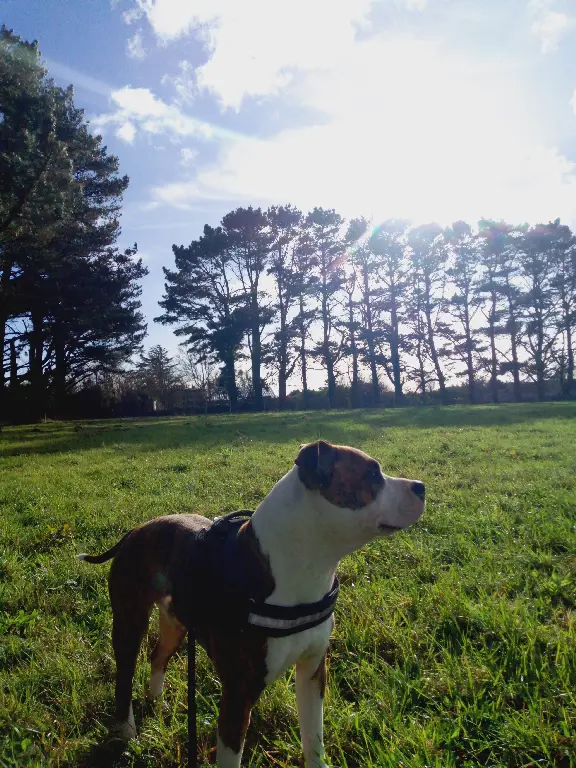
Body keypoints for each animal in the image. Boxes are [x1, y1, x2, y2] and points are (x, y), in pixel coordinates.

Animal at [79, 440, 426, 768]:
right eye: (372, 475)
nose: (421, 486)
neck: (304, 566)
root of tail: (134, 532)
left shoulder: (313, 671)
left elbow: (313, 738)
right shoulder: (238, 693)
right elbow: (232, 756)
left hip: (175, 623)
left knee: (158, 655)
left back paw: (156, 704)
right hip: (129, 621)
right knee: (124, 675)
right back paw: (127, 733)